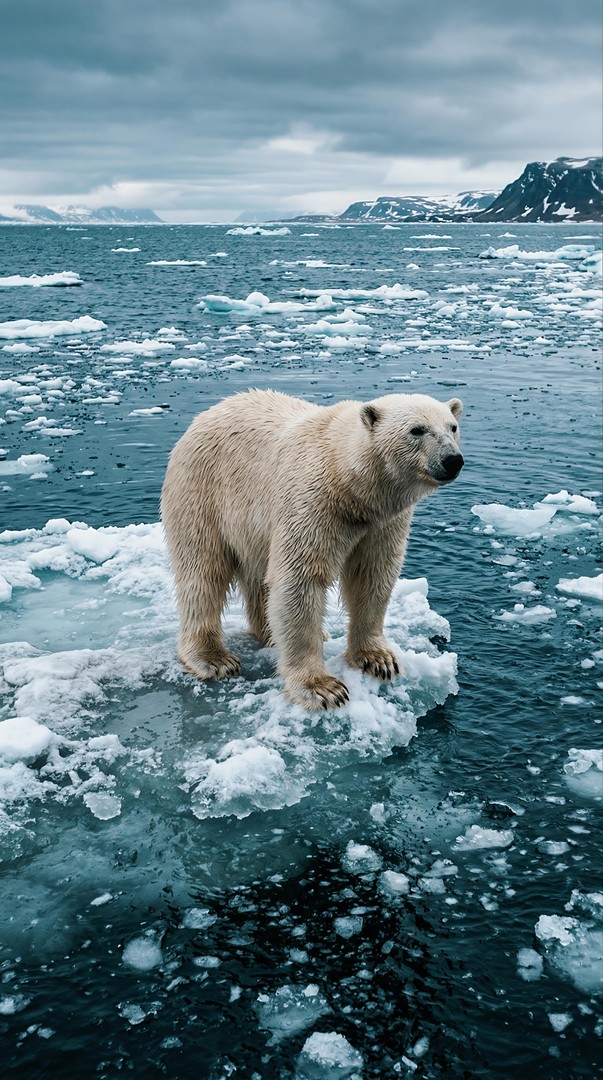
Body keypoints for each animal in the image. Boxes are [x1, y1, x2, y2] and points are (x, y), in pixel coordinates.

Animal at [161, 388, 463, 711]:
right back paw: (213, 658)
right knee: (203, 572)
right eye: (417, 430)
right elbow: (300, 579)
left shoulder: (383, 522)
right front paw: (321, 688)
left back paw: (274, 632)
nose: (452, 460)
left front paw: (378, 659)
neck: (350, 484)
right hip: (204, 491)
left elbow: (372, 575)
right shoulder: (313, 501)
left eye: (452, 427)